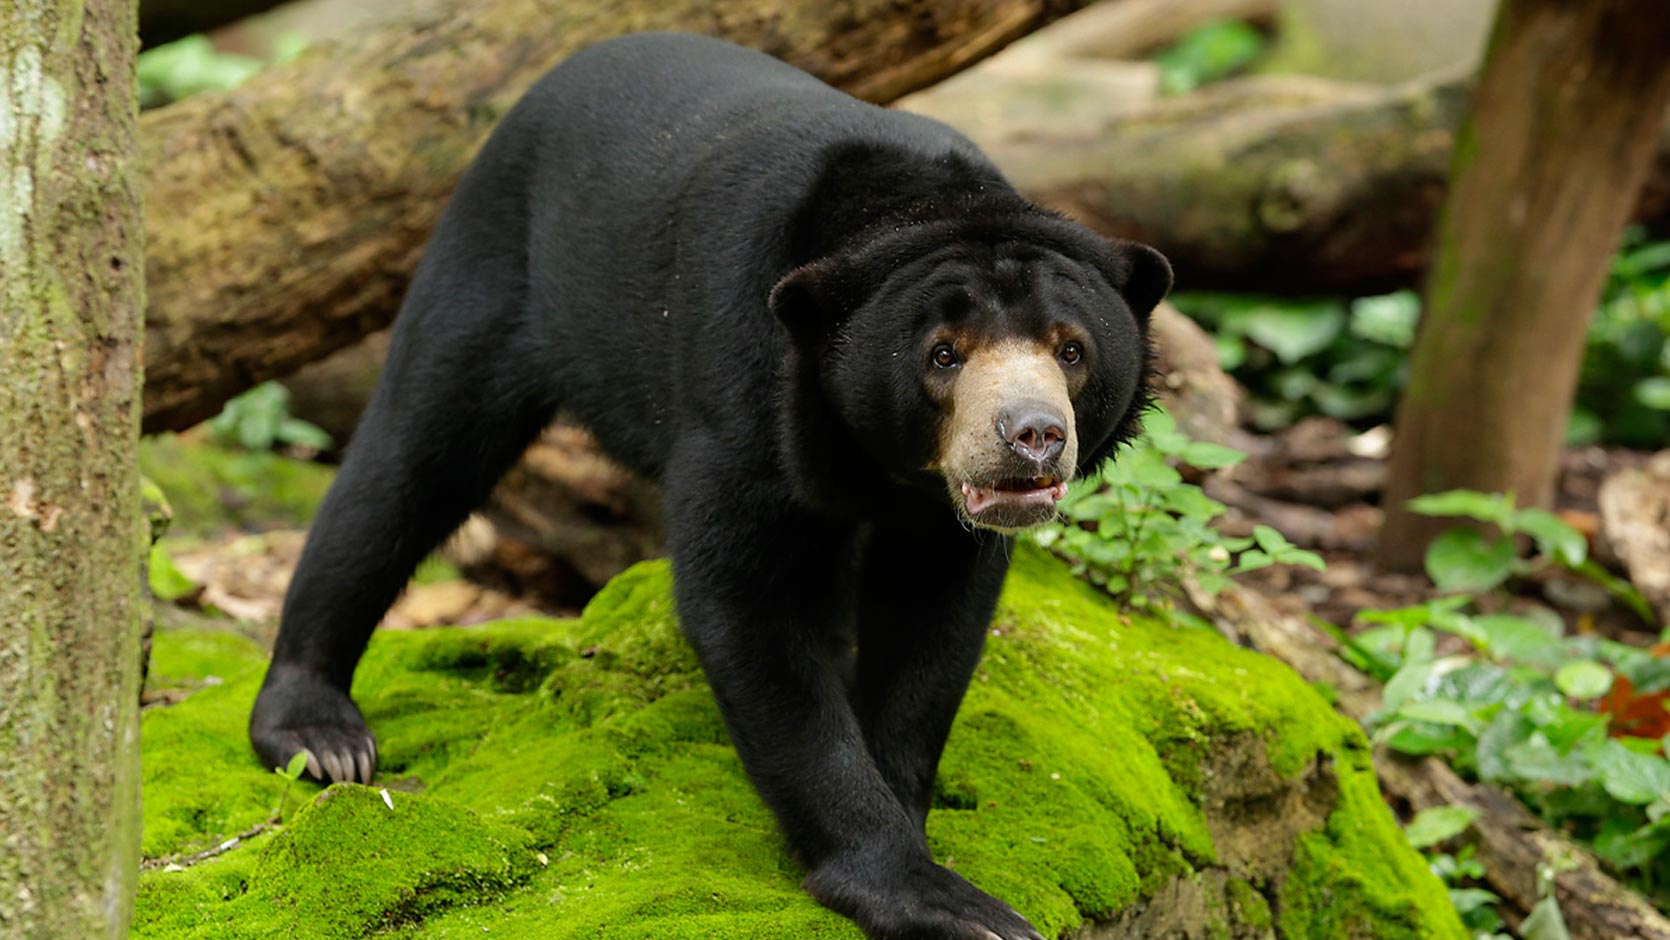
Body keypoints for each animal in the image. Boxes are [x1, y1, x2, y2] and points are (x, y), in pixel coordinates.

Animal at [250, 33, 1175, 940]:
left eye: (1071, 349)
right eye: (943, 355)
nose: (1032, 437)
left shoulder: (932, 513)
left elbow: (930, 622)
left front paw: (908, 805)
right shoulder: (744, 388)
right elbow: (748, 605)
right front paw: (939, 898)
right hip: (495, 266)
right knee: (405, 468)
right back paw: (321, 735)